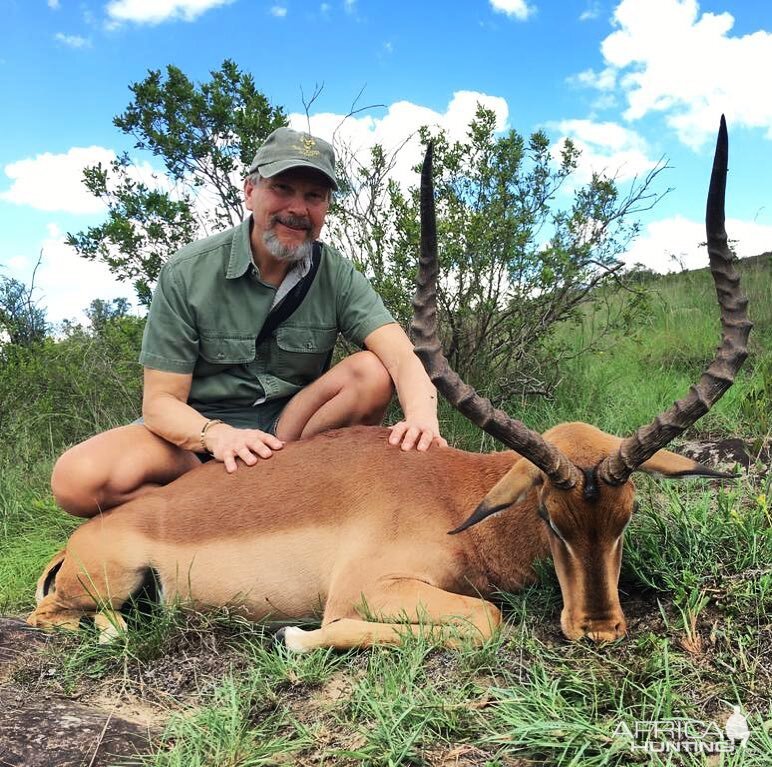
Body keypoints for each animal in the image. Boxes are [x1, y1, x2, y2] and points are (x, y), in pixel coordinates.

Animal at [28, 118, 748, 648]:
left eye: (627, 515)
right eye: (550, 513)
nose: (597, 629)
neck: (453, 496)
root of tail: (77, 543)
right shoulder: (363, 591)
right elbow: (483, 620)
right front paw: (295, 637)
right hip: (104, 584)